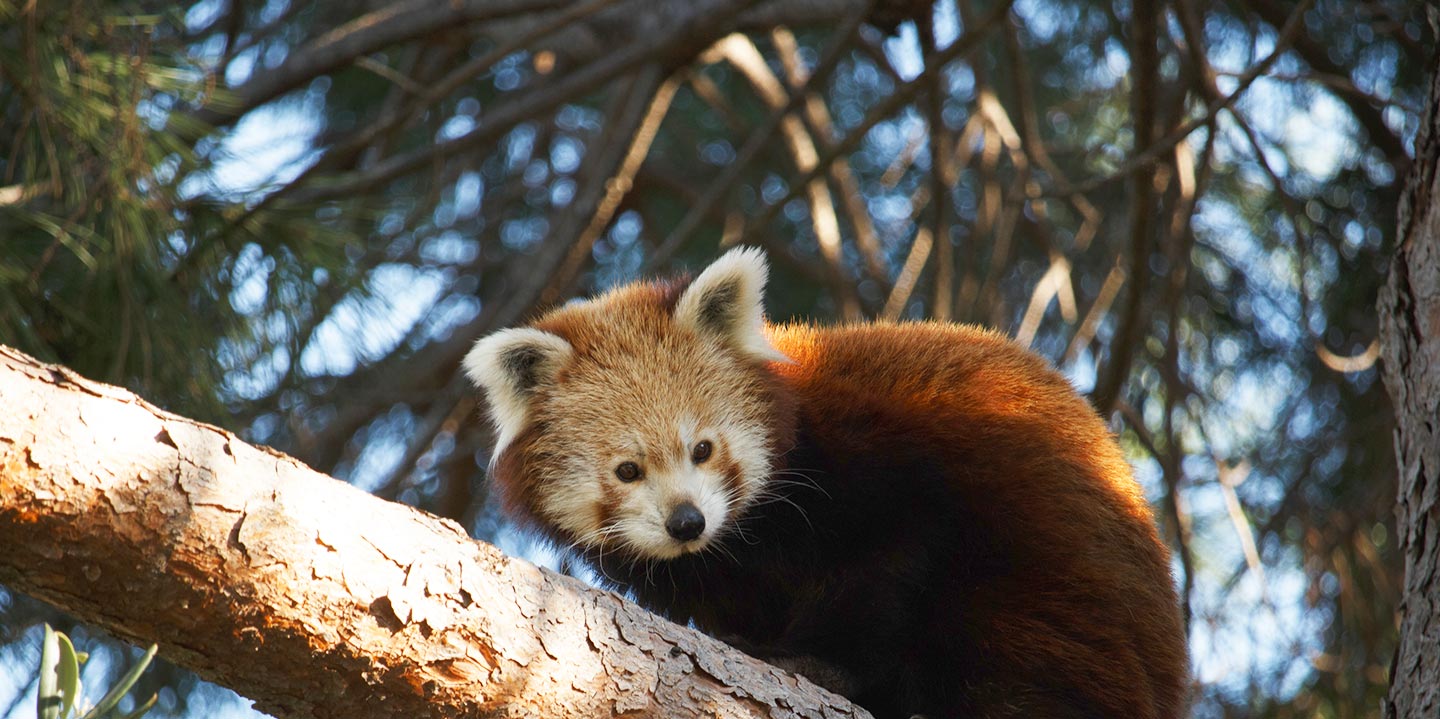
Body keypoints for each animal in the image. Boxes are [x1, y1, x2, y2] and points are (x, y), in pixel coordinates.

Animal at [466, 249, 1186, 719]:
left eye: (703, 449)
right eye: (627, 470)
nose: (687, 521)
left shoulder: (878, 473)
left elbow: (883, 569)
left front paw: (811, 664)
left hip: (1050, 592)